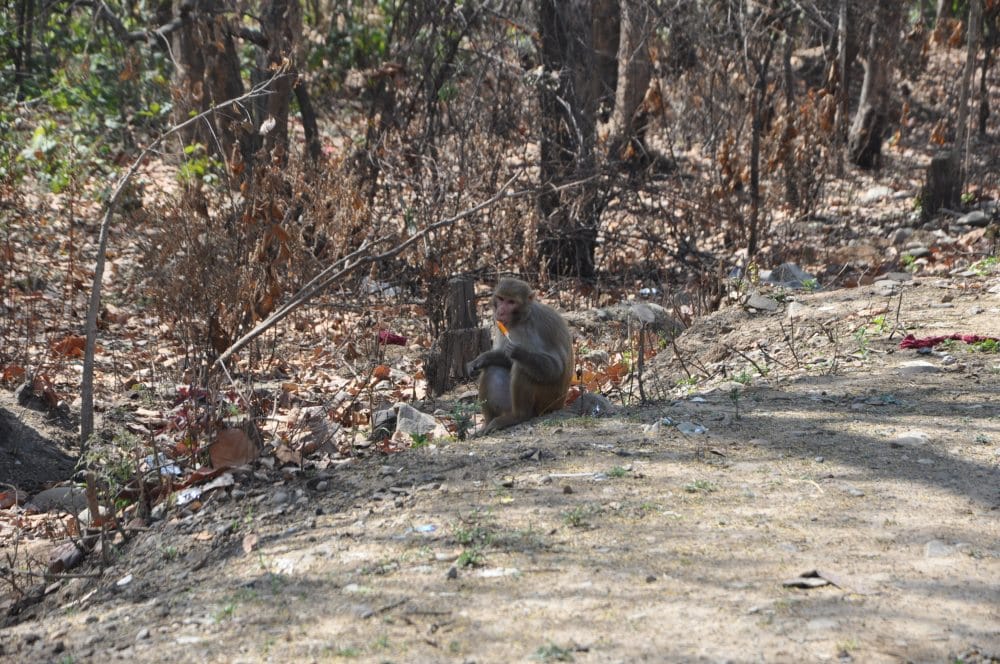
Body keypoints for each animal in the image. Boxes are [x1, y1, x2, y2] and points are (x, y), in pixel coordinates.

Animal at [466, 277, 574, 435]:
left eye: (511, 302)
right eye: (501, 299)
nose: (501, 311)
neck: (521, 320)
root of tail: (561, 403)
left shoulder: (537, 328)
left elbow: (555, 368)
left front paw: (518, 352)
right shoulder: (502, 326)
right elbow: (504, 359)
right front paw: (481, 359)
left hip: (548, 401)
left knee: (523, 368)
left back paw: (519, 416)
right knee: (492, 368)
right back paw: (488, 423)